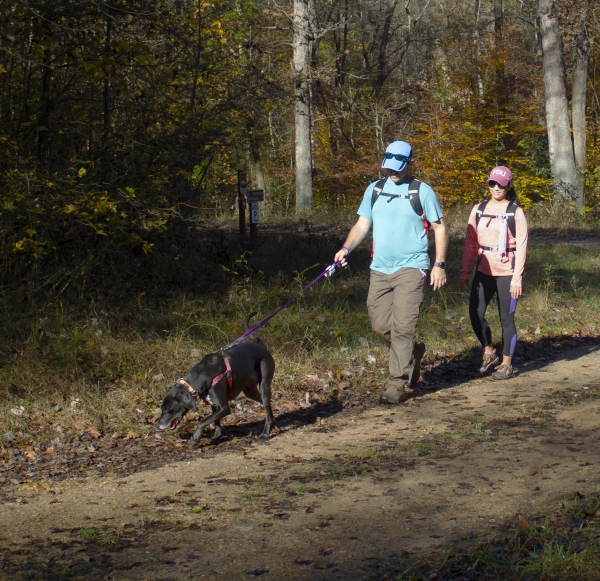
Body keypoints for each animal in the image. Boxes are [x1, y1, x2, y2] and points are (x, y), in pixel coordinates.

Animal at [156, 312, 276, 444]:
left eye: (167, 410)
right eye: (161, 409)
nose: (158, 425)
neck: (202, 377)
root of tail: (261, 346)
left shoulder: (224, 408)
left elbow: (203, 421)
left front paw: (196, 438)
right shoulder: (214, 405)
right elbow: (216, 423)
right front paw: (216, 437)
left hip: (264, 385)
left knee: (266, 406)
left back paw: (265, 433)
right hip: (249, 390)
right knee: (267, 406)